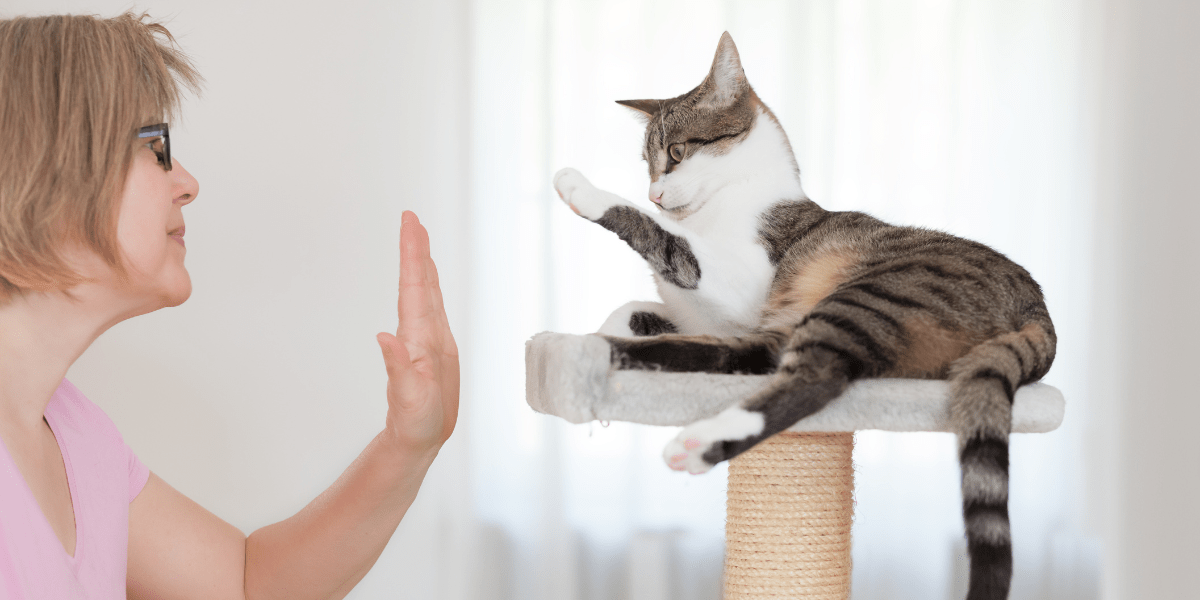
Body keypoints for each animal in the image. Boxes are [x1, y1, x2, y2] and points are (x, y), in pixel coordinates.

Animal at [549, 31, 1056, 600]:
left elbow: (662, 239)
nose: (653, 193)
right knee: (749, 358)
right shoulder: (715, 319)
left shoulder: (733, 284)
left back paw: (694, 438)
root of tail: (1037, 306)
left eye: (676, 153)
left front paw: (584, 189)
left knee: (816, 376)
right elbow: (635, 306)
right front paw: (605, 330)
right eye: (648, 163)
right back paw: (604, 351)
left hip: (871, 295)